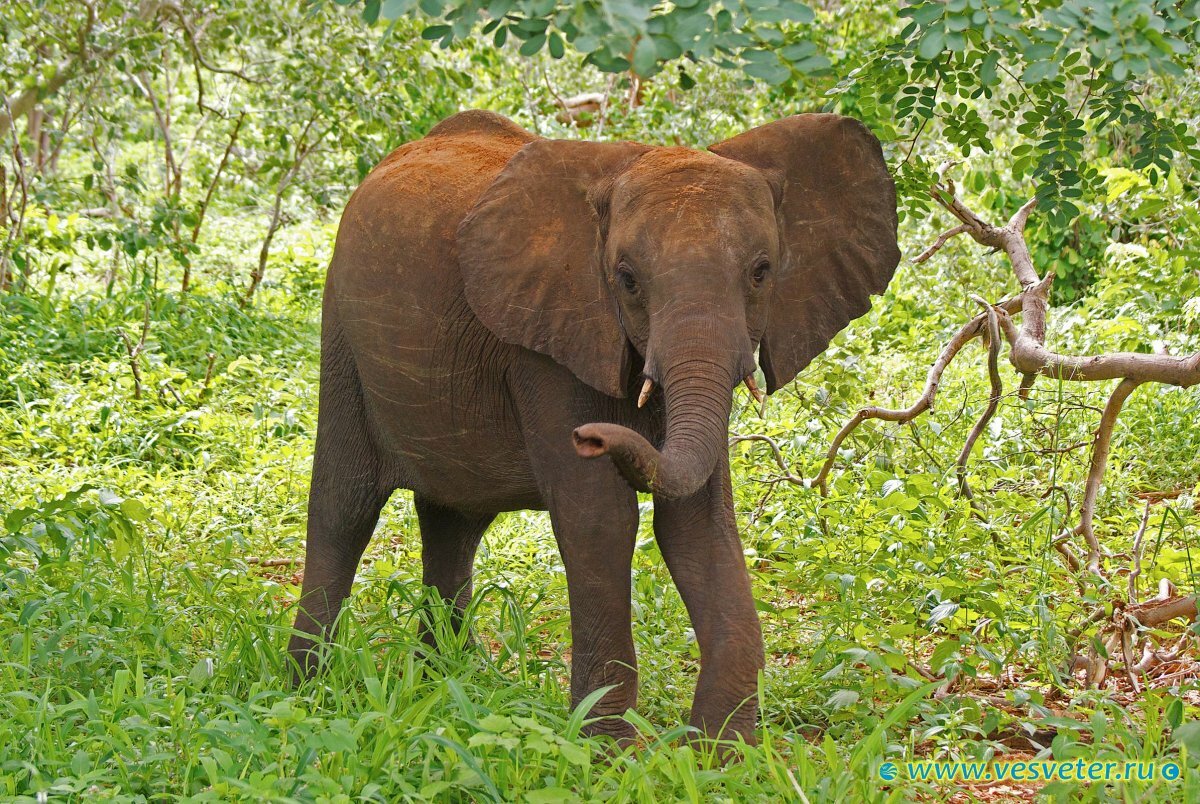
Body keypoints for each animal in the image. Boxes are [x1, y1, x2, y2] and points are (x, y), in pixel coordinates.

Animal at [287, 109, 900, 745]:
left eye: (761, 272)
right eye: (626, 280)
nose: (592, 438)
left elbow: (697, 524)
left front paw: (720, 756)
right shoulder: (549, 338)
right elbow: (600, 517)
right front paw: (607, 751)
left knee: (454, 522)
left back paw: (447, 681)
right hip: (342, 340)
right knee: (344, 507)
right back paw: (310, 693)